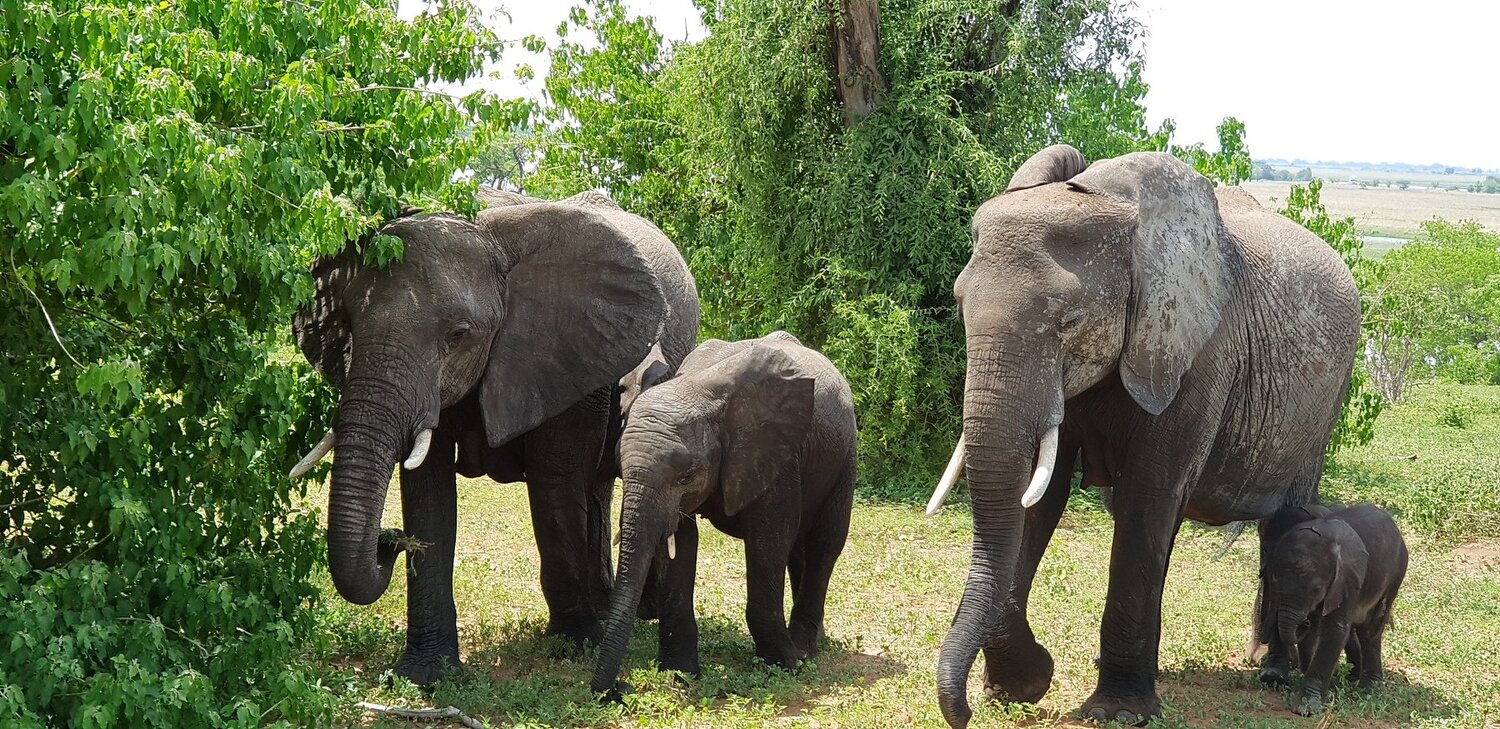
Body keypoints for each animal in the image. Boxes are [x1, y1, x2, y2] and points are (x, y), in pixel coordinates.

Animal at [288, 188, 699, 685]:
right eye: (347, 324)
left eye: (458, 334)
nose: (389, 541)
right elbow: (427, 491)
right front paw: (425, 673)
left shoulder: (570, 356)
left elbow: (554, 484)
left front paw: (576, 644)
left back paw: (635, 614)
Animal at [589, 331, 858, 697]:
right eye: (619, 463)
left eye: (686, 476)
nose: (620, 689)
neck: (697, 389)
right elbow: (680, 544)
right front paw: (681, 673)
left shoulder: (774, 454)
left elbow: (769, 539)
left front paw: (785, 664)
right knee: (800, 549)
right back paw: (814, 640)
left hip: (845, 455)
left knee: (823, 543)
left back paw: (804, 649)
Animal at [925, 145, 1362, 726]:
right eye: (959, 306)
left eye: (1070, 322)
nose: (965, 713)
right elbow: (1041, 499)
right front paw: (1020, 686)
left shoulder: (1199, 354)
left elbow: (1145, 497)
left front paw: (1115, 711)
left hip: (1326, 402)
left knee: (1285, 521)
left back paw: (1270, 669)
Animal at [1261, 503, 1407, 715]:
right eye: (1274, 579)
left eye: (1317, 589)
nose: (1303, 622)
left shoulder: (1347, 579)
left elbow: (1334, 631)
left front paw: (1307, 707)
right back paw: (1350, 678)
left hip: (1396, 574)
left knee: (1370, 628)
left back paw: (1368, 688)